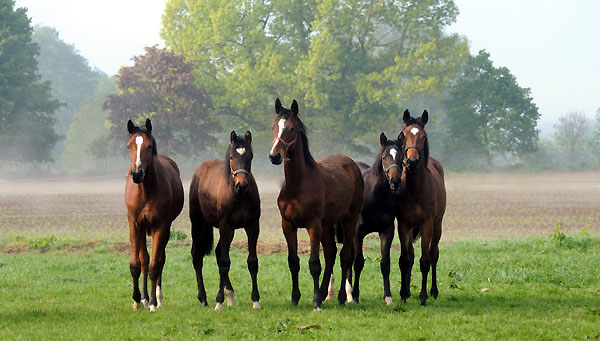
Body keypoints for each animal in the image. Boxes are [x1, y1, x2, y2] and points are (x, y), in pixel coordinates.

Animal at [123, 117, 183, 310]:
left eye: (149, 146)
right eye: (129, 146)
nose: (137, 174)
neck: (145, 191)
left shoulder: (161, 226)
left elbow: (155, 265)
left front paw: (153, 303)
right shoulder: (135, 225)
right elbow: (137, 264)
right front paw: (137, 299)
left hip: (166, 228)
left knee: (160, 259)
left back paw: (157, 297)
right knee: (144, 260)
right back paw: (144, 297)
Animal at [190, 129, 260, 308]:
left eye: (250, 156)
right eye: (231, 157)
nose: (241, 185)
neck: (238, 196)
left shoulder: (252, 226)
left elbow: (252, 262)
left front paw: (256, 300)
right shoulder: (225, 225)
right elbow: (224, 263)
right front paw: (219, 301)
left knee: (218, 252)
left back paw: (230, 295)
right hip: (199, 223)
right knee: (197, 256)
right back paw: (203, 298)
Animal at [270, 98, 364, 310]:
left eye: (292, 128)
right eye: (274, 126)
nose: (275, 156)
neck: (297, 186)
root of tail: (351, 163)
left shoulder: (313, 225)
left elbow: (314, 263)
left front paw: (315, 303)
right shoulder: (288, 225)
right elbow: (293, 262)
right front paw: (295, 298)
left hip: (348, 219)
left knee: (345, 256)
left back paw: (339, 297)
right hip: (328, 225)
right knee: (331, 254)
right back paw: (323, 293)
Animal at [352, 131, 404, 304]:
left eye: (401, 156)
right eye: (384, 157)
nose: (395, 181)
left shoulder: (387, 230)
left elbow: (385, 263)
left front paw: (388, 296)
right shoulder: (357, 232)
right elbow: (358, 262)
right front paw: (355, 295)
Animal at [394, 109, 446, 306]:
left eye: (424, 137)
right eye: (403, 135)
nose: (412, 162)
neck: (414, 190)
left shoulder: (426, 224)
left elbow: (425, 260)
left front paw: (423, 296)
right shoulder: (403, 224)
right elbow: (405, 259)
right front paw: (403, 294)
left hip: (437, 225)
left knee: (433, 254)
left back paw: (433, 291)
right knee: (411, 255)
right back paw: (408, 291)